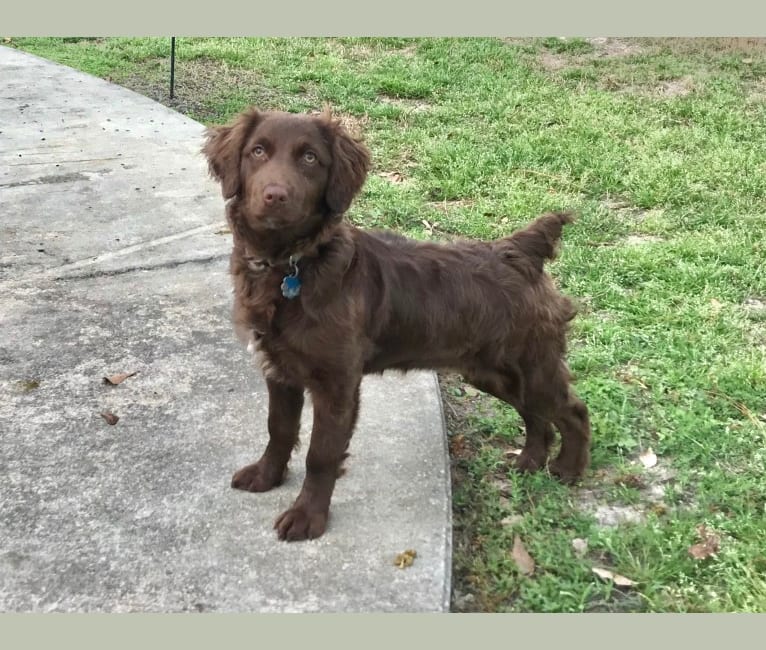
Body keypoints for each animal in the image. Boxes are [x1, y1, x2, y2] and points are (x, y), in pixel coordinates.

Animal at [204, 107, 592, 540]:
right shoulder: (279, 370)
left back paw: (568, 469)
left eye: (310, 158)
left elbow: (321, 455)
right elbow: (278, 429)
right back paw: (529, 461)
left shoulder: (337, 384)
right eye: (257, 151)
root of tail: (520, 252)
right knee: (536, 415)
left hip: (531, 364)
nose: (275, 196)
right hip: (494, 372)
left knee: (573, 411)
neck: (292, 265)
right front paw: (266, 476)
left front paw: (307, 517)